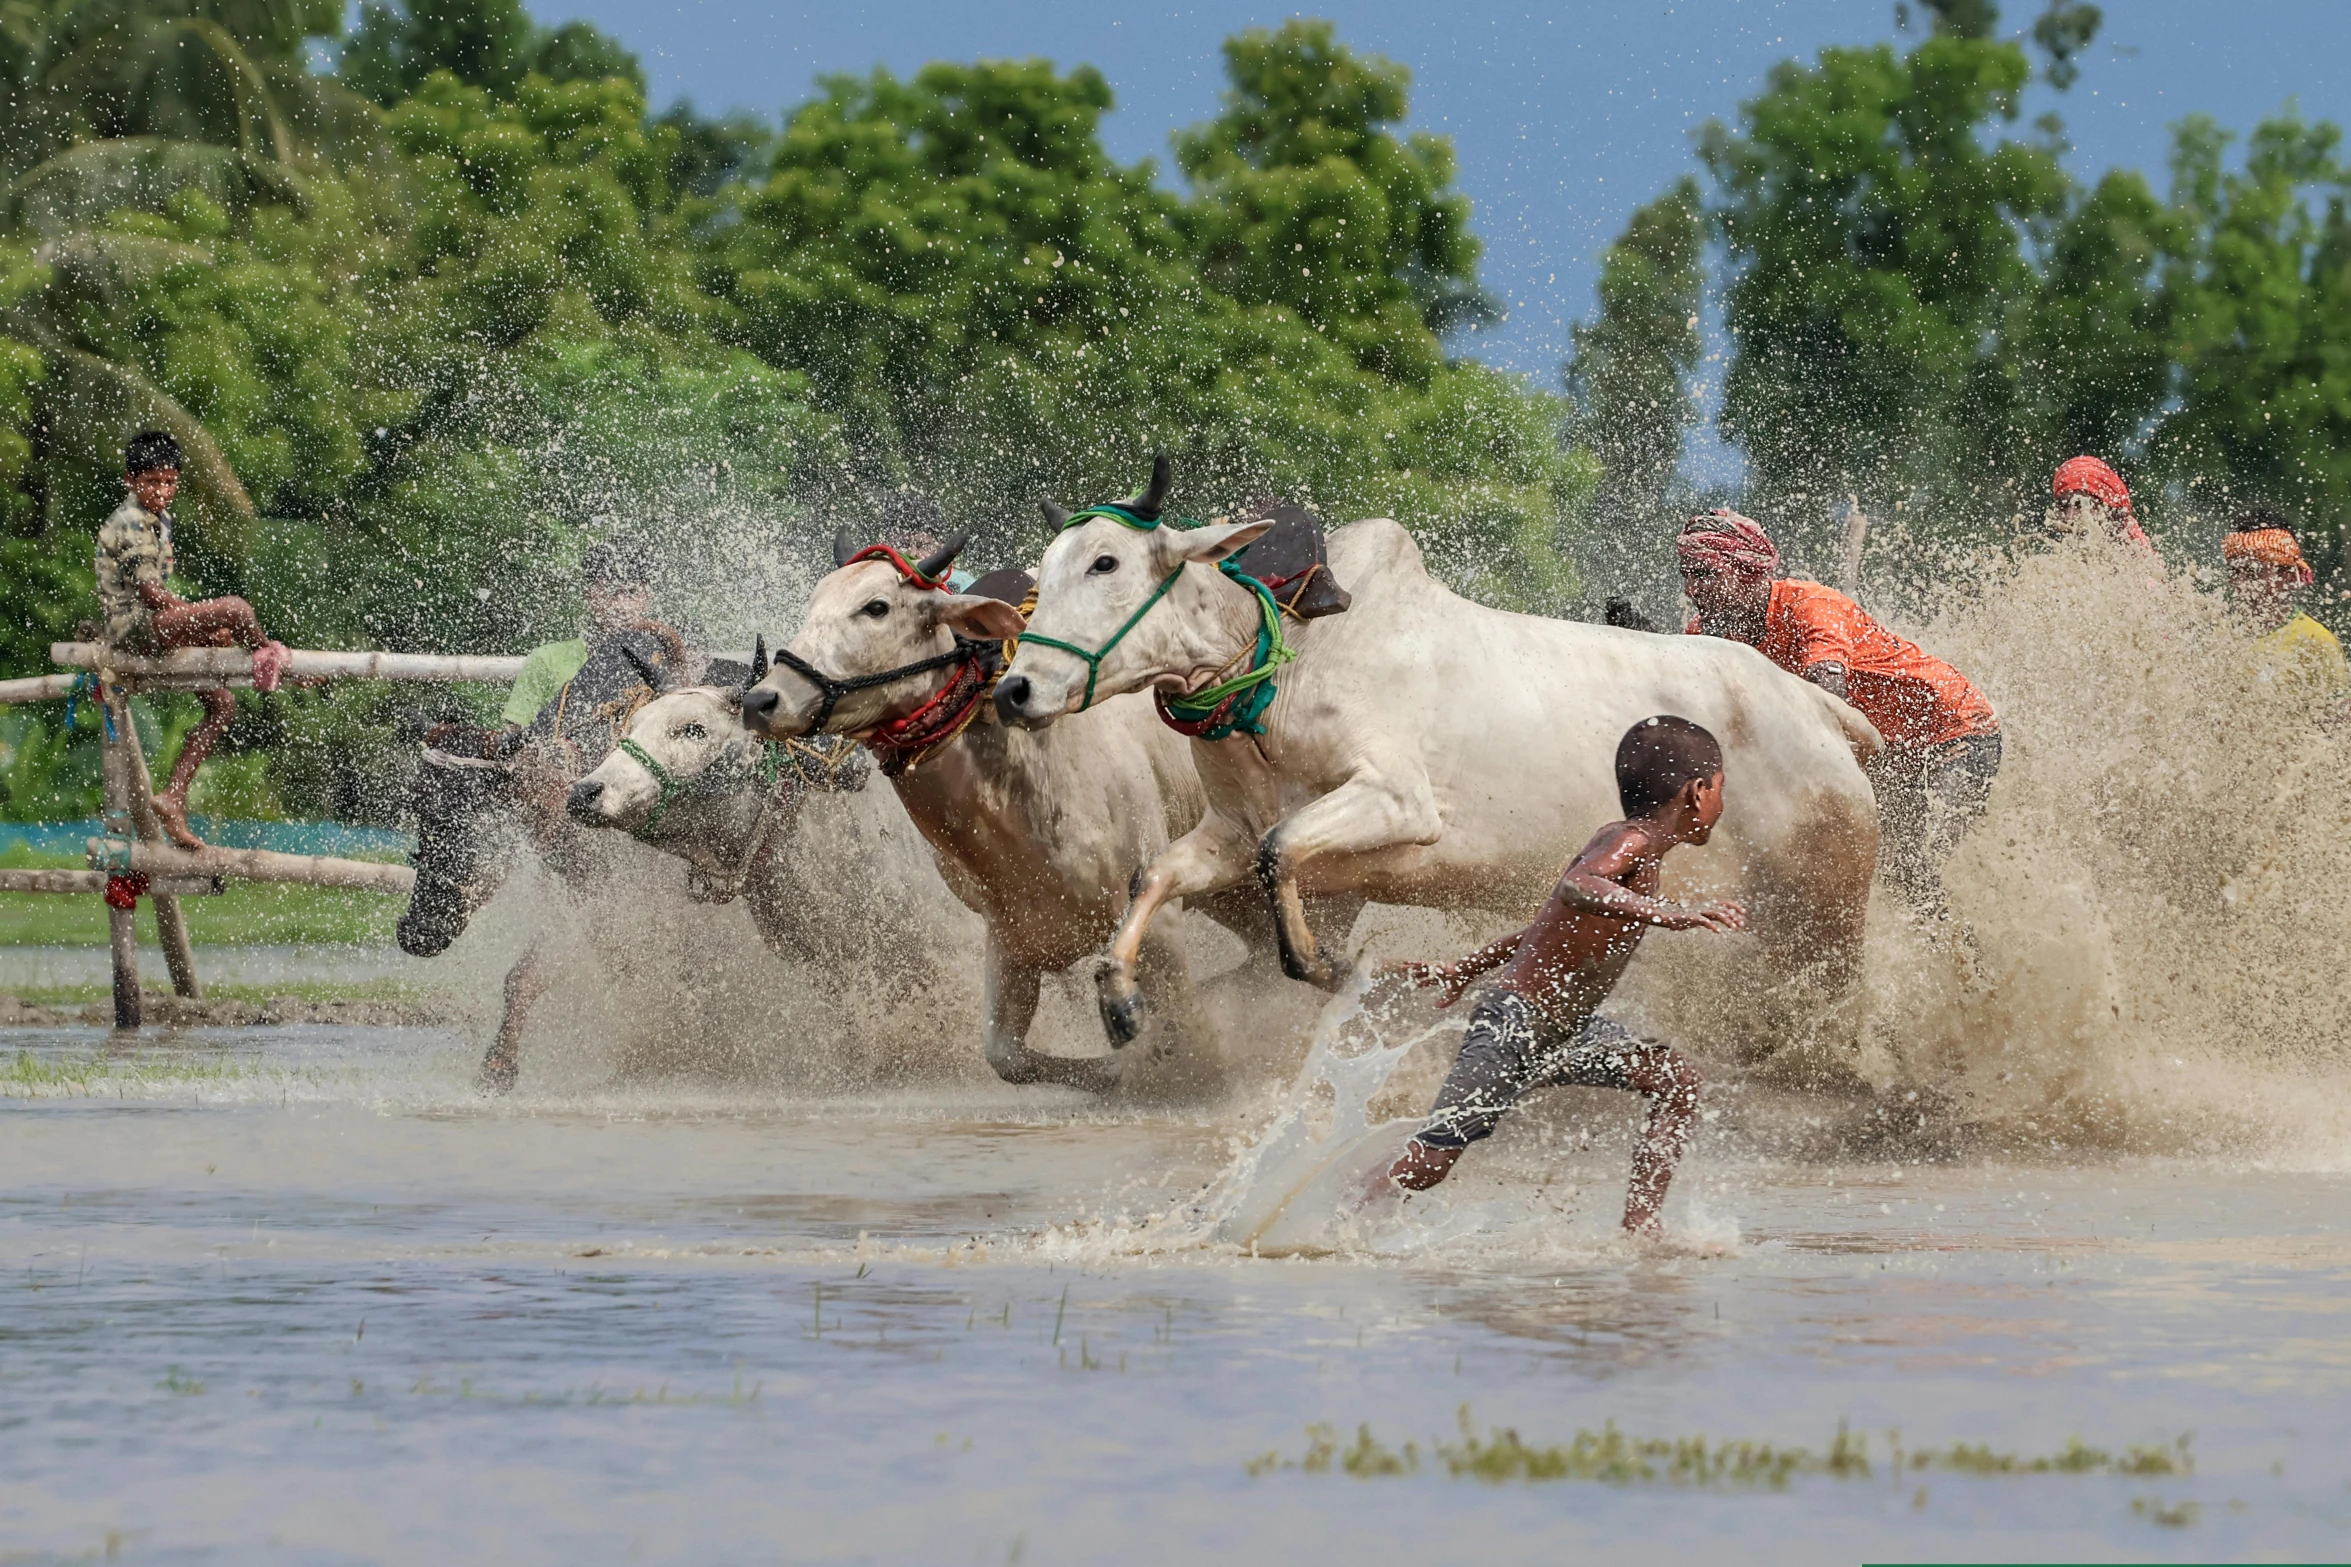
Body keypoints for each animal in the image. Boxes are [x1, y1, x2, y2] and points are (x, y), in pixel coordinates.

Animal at [742, 533, 1316, 1085]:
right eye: (815, 601)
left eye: (876, 607)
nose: (760, 702)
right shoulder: (1012, 937)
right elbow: (1007, 1058)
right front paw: (1113, 1068)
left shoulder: (1159, 926)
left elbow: (1187, 1033)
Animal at [992, 455, 1890, 1066]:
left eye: (1106, 561)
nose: (1015, 687)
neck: (1281, 657)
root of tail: (1816, 709)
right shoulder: (1225, 828)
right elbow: (1156, 875)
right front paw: (1118, 999)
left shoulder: (1397, 802)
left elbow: (1281, 854)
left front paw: (1322, 963)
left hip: (1825, 909)